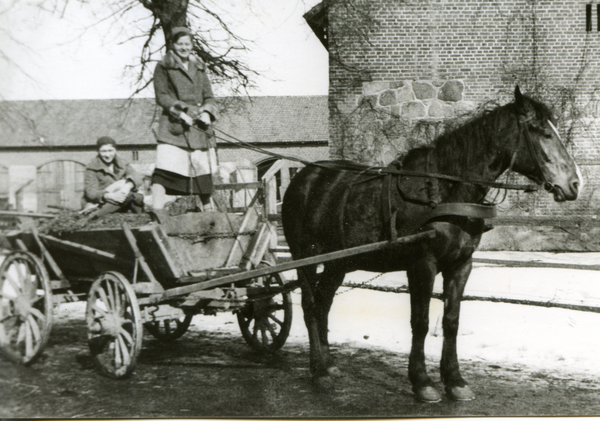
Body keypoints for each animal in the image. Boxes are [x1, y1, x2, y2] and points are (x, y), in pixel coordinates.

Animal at [282, 84, 580, 400]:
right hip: (305, 255)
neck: (445, 191)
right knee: (310, 306)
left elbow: (451, 321)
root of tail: (304, 176)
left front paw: (455, 380)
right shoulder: (422, 264)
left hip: (338, 262)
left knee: (323, 304)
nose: (574, 184)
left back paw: (328, 365)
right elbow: (421, 322)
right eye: (541, 132)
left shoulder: (461, 265)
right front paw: (422, 381)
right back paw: (318, 370)